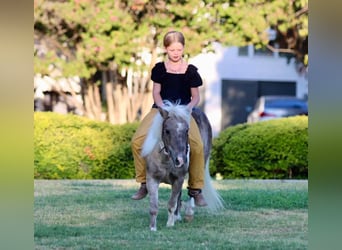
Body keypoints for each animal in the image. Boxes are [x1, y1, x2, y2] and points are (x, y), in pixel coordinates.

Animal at [140, 100, 223, 231]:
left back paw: (188, 213)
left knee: (192, 190)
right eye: (167, 130)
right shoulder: (152, 179)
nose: (180, 160)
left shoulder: (178, 179)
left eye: (187, 130)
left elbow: (171, 203)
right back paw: (177, 216)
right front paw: (153, 228)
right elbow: (154, 206)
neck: (166, 160)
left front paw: (169, 224)